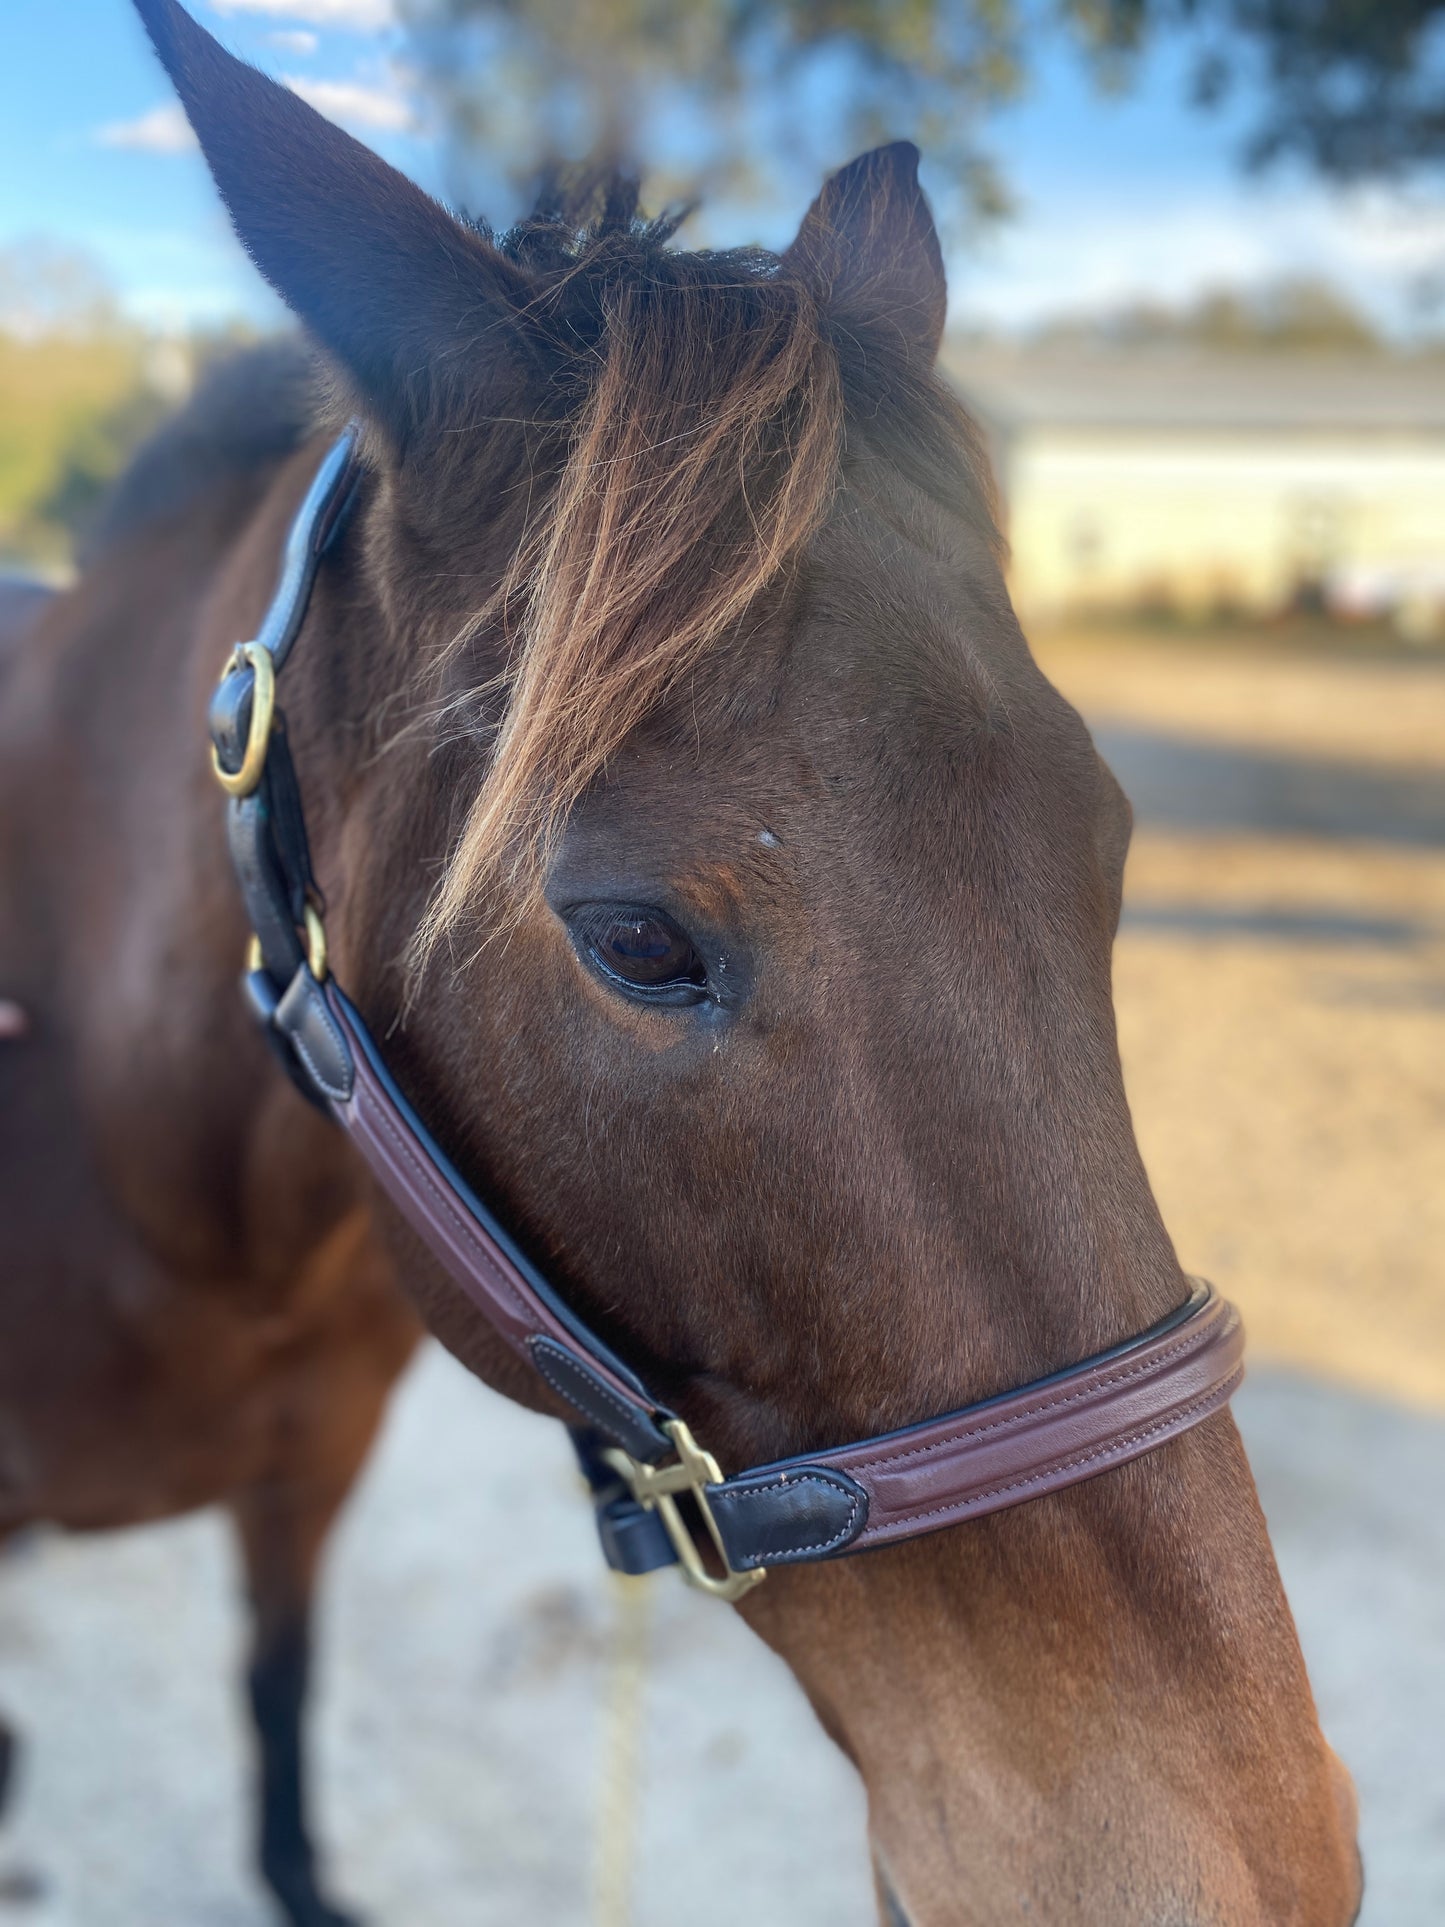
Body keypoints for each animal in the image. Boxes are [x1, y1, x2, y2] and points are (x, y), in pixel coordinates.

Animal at [0, 0, 1364, 1919]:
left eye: (1105, 846)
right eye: (635, 939)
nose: (1250, 1859)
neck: (156, 1174)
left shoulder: (306, 1477)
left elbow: (276, 1698)